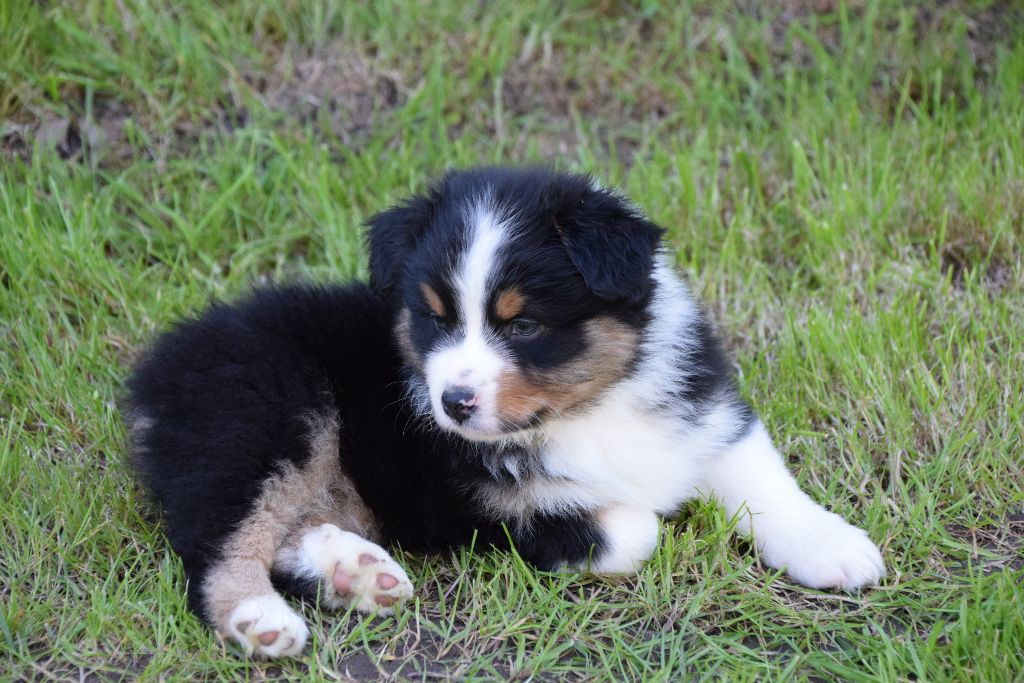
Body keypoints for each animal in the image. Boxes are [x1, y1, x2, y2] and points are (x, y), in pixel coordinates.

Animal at [125, 165, 880, 655]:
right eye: (435, 318)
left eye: (522, 325)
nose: (453, 405)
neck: (585, 408)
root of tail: (160, 365)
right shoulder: (470, 497)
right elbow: (631, 526)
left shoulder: (704, 410)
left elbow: (763, 478)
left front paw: (835, 547)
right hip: (268, 416)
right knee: (217, 538)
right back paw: (259, 617)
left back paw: (352, 571)